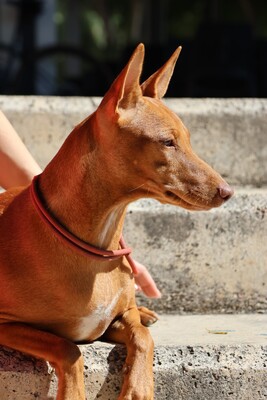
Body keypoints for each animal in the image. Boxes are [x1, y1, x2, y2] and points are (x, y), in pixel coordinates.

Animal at [0, 42, 233, 398]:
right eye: (168, 142)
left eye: (188, 139)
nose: (227, 191)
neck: (98, 247)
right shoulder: (6, 324)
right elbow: (68, 347)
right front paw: (73, 391)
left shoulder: (114, 320)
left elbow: (142, 335)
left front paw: (138, 386)